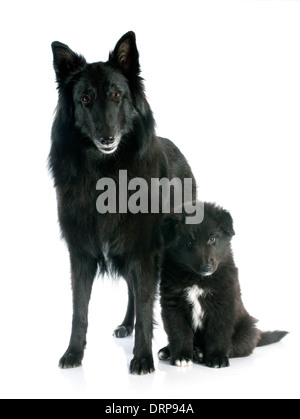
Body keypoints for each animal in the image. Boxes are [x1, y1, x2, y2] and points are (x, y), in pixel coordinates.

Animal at [49, 32, 196, 374]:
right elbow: (79, 309)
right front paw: (73, 353)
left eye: (117, 95)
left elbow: (146, 303)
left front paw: (142, 357)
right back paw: (126, 326)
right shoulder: (82, 253)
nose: (106, 138)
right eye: (85, 99)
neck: (106, 173)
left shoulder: (143, 252)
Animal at [158, 204, 288, 370]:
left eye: (212, 239)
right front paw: (181, 356)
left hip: (248, 328)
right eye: (189, 242)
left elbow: (218, 333)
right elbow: (179, 331)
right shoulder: (173, 304)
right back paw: (170, 351)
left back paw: (201, 353)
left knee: (237, 346)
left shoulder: (223, 303)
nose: (206, 267)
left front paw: (216, 358)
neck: (198, 279)